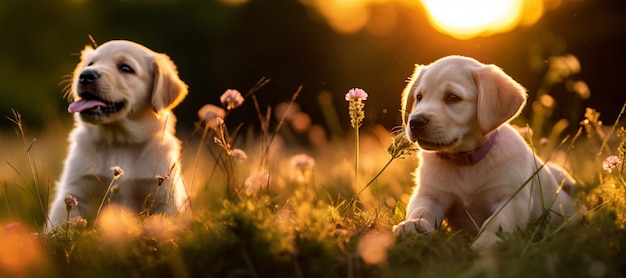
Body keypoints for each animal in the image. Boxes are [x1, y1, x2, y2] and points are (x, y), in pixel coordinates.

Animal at [47, 40, 189, 229]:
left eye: (125, 68)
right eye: (90, 63)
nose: (85, 75)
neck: (119, 142)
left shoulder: (164, 195)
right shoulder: (75, 190)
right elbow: (60, 222)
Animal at [392, 54, 572, 250]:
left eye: (452, 97)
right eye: (419, 97)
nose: (415, 122)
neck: (464, 160)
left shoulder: (513, 198)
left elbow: (498, 222)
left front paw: (487, 242)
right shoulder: (430, 194)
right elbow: (421, 209)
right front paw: (414, 226)